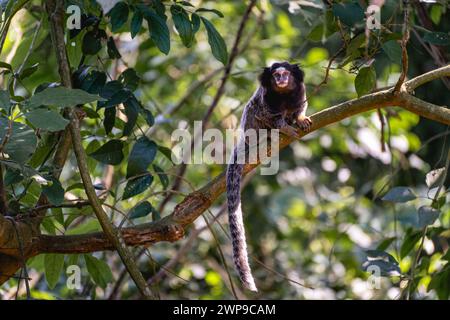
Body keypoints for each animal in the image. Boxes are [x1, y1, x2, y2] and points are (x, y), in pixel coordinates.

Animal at [227, 61, 312, 292]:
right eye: (275, 75)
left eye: (285, 74)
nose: (280, 80)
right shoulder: (265, 101)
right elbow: (266, 114)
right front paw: (285, 128)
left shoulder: (300, 93)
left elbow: (299, 108)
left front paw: (300, 119)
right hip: (251, 129)